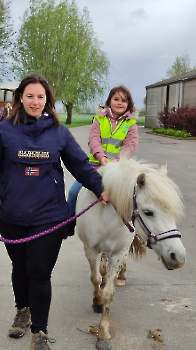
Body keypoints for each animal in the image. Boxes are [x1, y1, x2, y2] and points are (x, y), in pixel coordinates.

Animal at [76, 159, 186, 350]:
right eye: (148, 212)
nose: (177, 257)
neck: (106, 220)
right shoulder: (91, 250)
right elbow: (95, 279)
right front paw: (97, 301)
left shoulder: (118, 253)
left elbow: (109, 293)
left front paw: (103, 334)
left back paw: (121, 276)